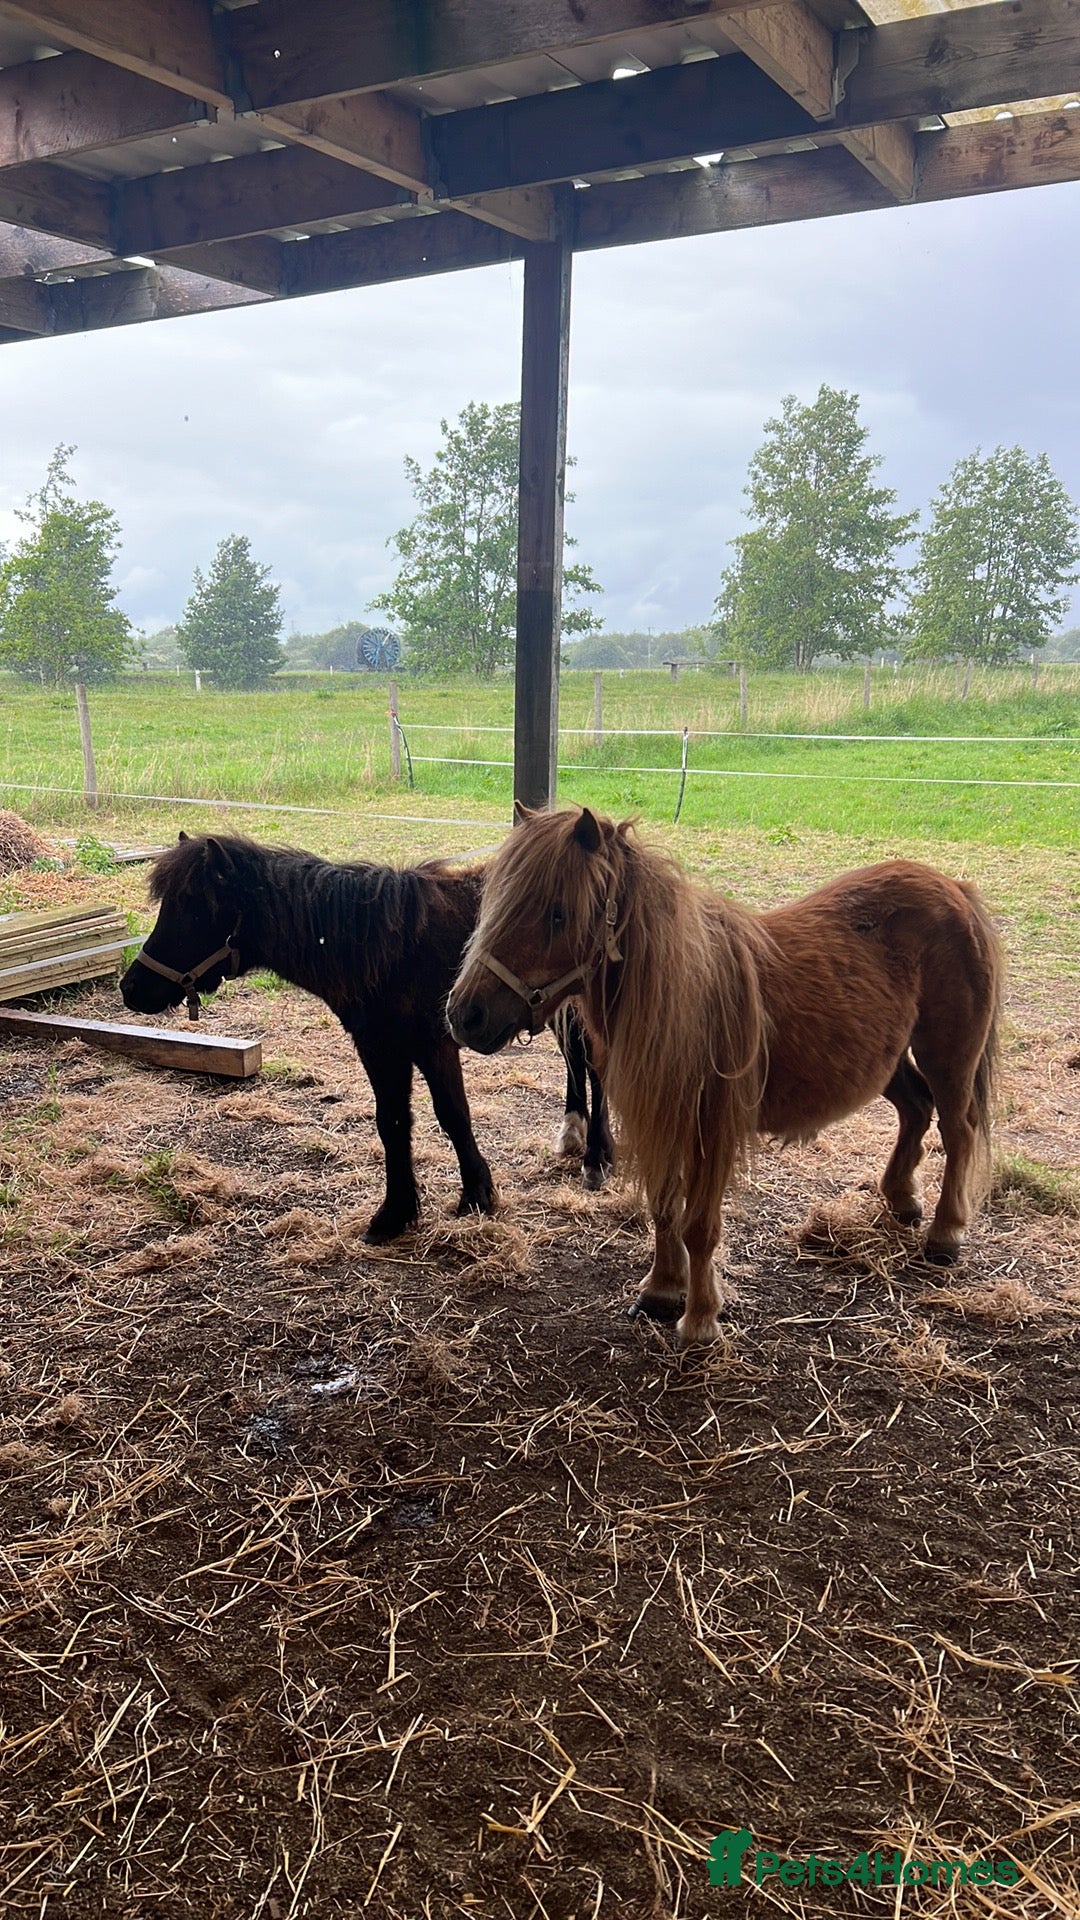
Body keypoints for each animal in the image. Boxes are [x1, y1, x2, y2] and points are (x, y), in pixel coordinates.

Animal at [119, 832, 610, 1243]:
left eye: (193, 910)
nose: (131, 988)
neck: (390, 947)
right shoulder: (379, 1047)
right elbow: (391, 1123)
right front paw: (396, 1214)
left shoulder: (434, 1044)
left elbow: (453, 1115)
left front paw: (476, 1195)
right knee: (575, 1062)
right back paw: (573, 1132)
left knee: (596, 1069)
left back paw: (597, 1157)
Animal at [447, 805, 1003, 1345]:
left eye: (558, 913)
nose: (464, 1014)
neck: (679, 997)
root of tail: (953, 887)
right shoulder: (661, 1119)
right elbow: (663, 1207)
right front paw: (662, 1289)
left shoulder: (710, 1129)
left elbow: (698, 1227)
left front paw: (698, 1319)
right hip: (884, 1059)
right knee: (916, 1109)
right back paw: (902, 1199)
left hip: (948, 1057)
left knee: (957, 1131)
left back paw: (945, 1235)